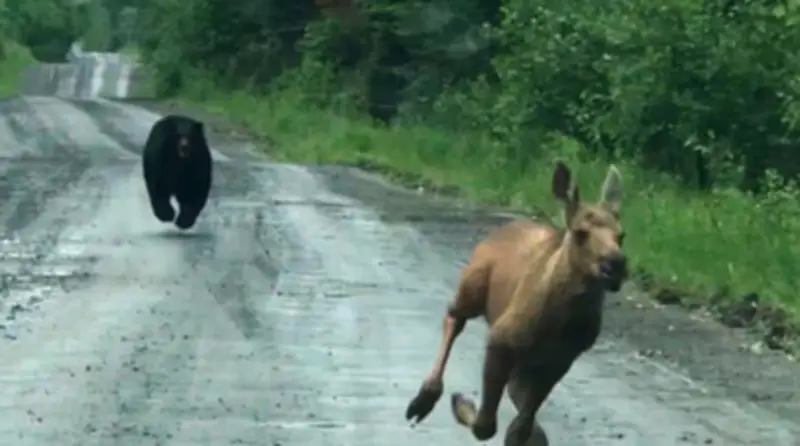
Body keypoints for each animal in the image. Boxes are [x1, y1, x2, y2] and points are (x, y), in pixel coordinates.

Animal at [405, 160, 627, 446]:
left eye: (621, 235)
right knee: (455, 317)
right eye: (580, 232)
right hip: (473, 287)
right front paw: (462, 403)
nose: (616, 265)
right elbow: (486, 426)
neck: (564, 320)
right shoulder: (501, 339)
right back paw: (426, 398)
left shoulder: (560, 360)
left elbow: (522, 425)